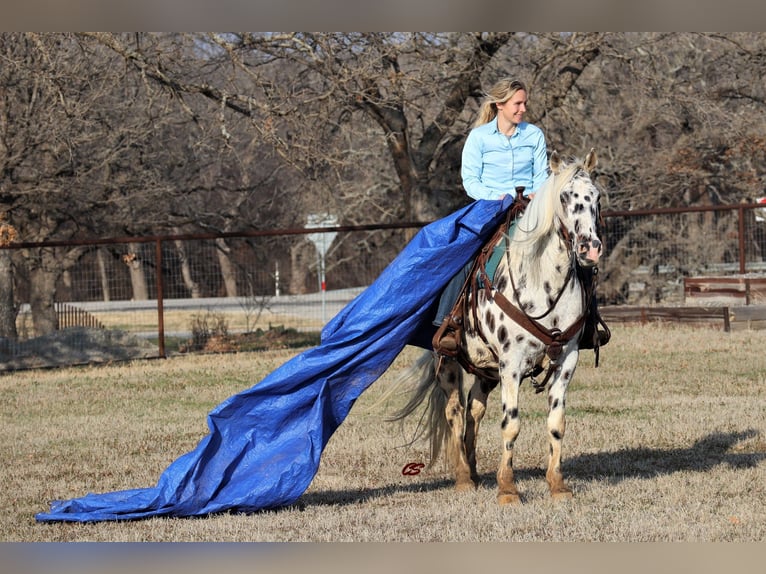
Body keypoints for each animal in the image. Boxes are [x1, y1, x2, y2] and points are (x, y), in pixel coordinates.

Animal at [392, 151, 604, 506]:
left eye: (596, 197)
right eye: (564, 196)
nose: (590, 248)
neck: (542, 282)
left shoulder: (566, 360)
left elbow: (556, 422)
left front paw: (557, 485)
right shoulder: (512, 363)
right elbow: (511, 424)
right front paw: (507, 489)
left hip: (486, 370)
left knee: (474, 411)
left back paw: (475, 470)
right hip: (449, 362)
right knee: (454, 410)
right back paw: (464, 478)